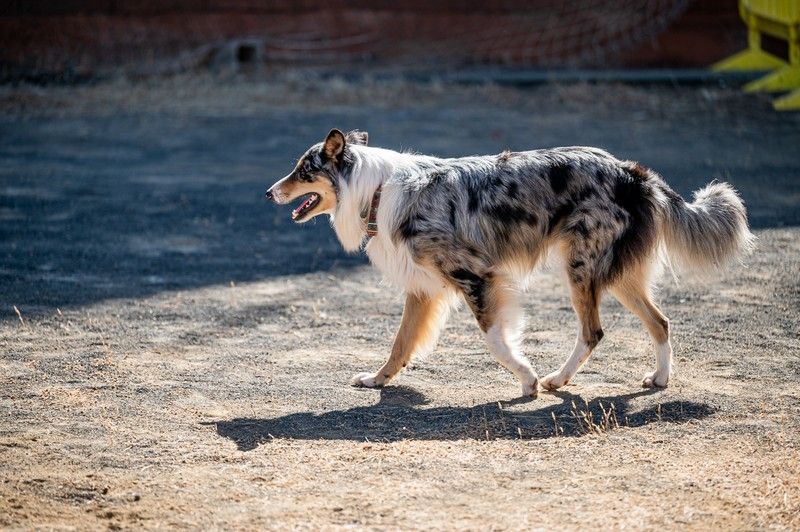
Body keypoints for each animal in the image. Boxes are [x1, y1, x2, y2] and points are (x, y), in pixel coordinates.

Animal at [266, 128, 752, 394]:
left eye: (303, 170)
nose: (270, 192)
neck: (378, 191)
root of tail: (632, 172)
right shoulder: (423, 287)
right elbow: (400, 344)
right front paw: (377, 380)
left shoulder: (477, 276)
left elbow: (495, 341)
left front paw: (527, 379)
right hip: (616, 275)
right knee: (660, 322)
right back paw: (659, 379)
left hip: (580, 268)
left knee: (593, 331)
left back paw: (555, 379)